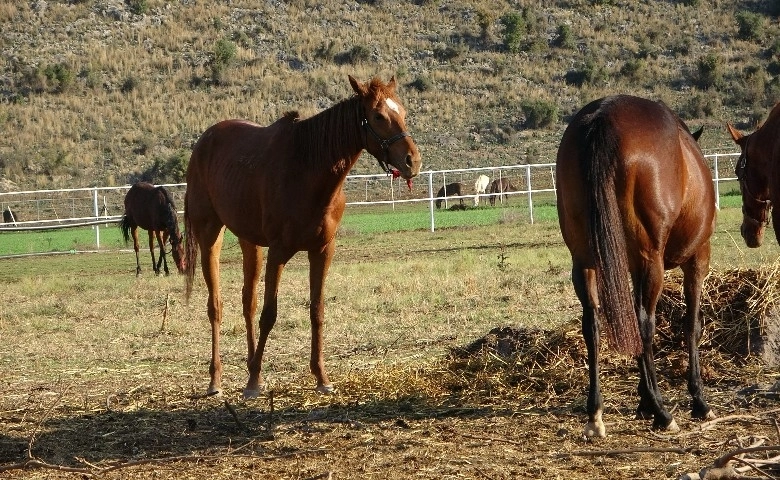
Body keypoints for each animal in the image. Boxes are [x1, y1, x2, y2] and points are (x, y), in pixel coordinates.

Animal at [183, 75, 420, 398]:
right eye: (378, 116)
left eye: (403, 112)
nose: (412, 161)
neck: (306, 169)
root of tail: (203, 142)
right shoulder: (279, 252)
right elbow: (269, 314)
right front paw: (254, 381)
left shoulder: (322, 250)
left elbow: (316, 311)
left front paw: (321, 377)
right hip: (209, 236)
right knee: (215, 306)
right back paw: (216, 380)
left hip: (250, 242)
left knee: (248, 302)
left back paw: (249, 363)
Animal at [556, 95, 716, 436]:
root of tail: (603, 118)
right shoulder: (697, 261)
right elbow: (692, 326)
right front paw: (697, 401)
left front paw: (642, 402)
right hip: (650, 262)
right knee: (644, 326)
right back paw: (663, 413)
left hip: (585, 262)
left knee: (592, 325)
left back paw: (595, 414)